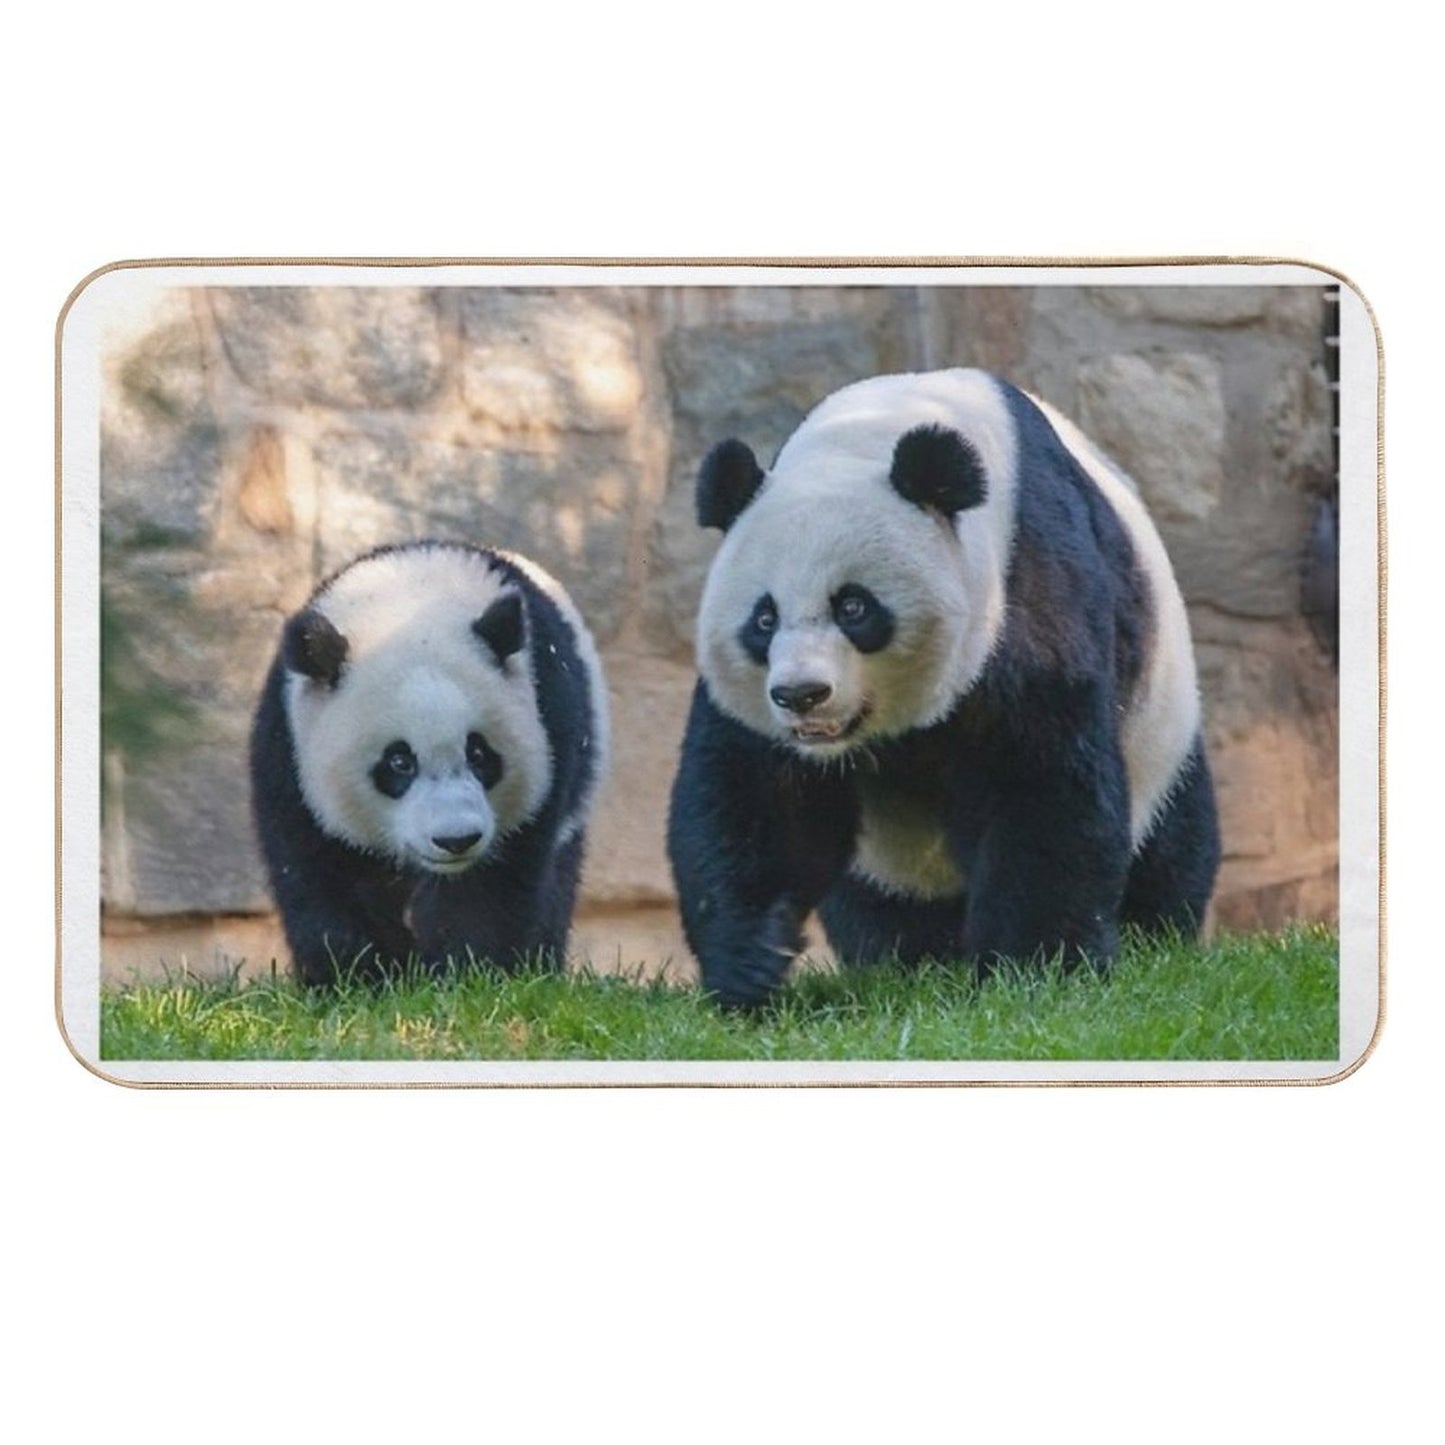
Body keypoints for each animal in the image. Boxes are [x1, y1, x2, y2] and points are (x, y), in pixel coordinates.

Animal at [250, 540, 609, 985]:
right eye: (399, 762)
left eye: (479, 754)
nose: (456, 840)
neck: (411, 599)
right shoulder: (289, 752)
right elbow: (320, 872)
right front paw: (357, 976)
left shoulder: (551, 731)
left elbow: (488, 889)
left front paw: (468, 974)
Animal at [667, 368, 1220, 1009]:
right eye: (764, 619)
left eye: (854, 607)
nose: (802, 694)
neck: (874, 428)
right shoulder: (761, 715)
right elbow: (758, 801)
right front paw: (749, 964)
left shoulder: (1024, 589)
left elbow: (1040, 786)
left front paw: (1034, 971)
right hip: (892, 858)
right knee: (882, 902)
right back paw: (907, 956)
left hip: (1161, 726)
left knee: (1171, 839)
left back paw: (1152, 933)